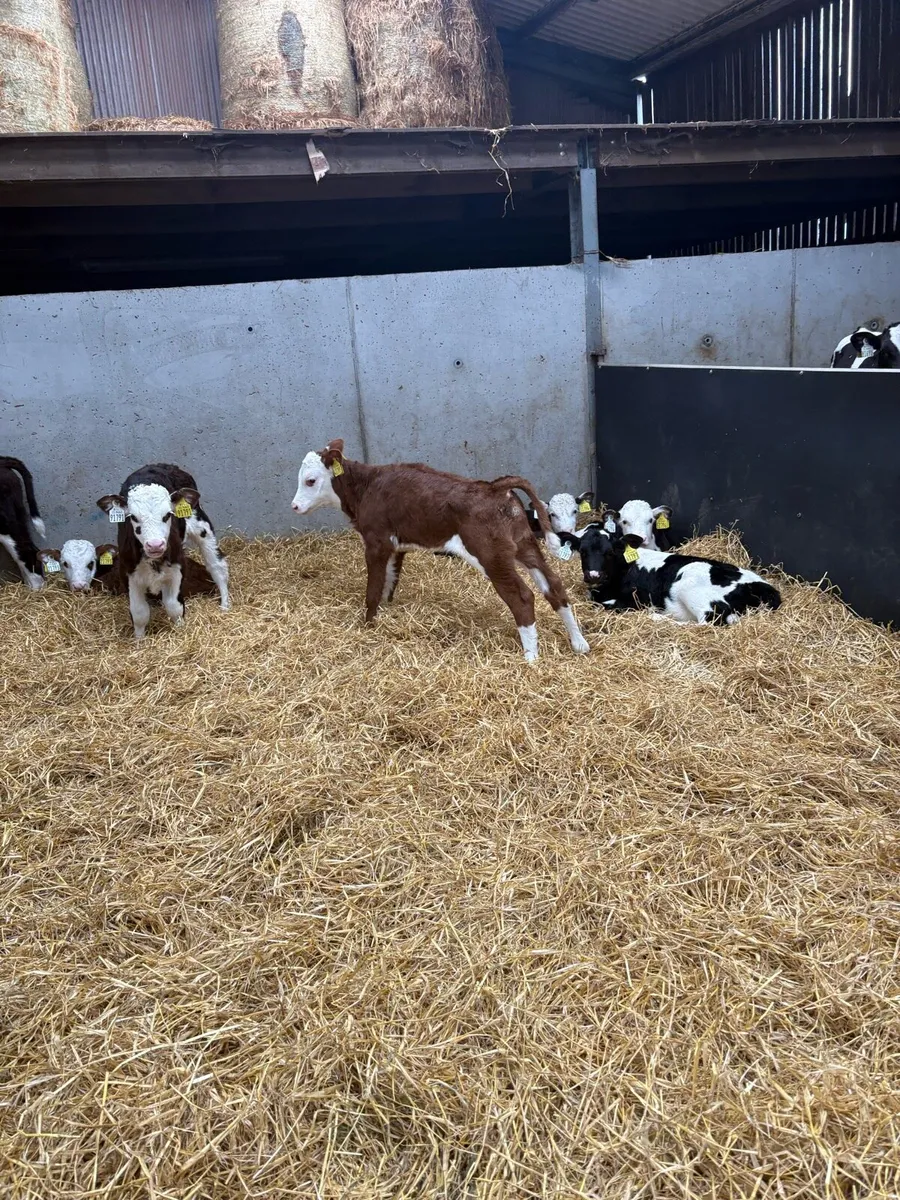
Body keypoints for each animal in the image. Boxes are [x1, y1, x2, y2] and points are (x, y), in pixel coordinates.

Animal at [96, 463, 230, 638]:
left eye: (167, 515)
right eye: (133, 517)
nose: (155, 545)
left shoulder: (178, 565)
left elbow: (174, 607)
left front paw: (180, 631)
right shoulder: (127, 572)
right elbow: (139, 613)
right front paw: (139, 641)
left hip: (202, 527)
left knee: (217, 566)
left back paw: (225, 606)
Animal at [290, 439, 590, 662]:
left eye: (310, 481)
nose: (294, 506)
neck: (367, 487)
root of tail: (495, 487)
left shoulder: (376, 542)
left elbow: (373, 589)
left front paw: (368, 625)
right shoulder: (396, 546)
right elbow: (389, 582)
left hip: (491, 555)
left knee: (523, 597)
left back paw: (531, 658)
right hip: (524, 546)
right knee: (554, 586)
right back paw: (579, 643)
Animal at [559, 523, 780, 624]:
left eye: (610, 552)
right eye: (583, 551)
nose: (593, 575)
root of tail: (763, 586)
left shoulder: (632, 601)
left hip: (692, 591)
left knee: (709, 622)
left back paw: (658, 618)